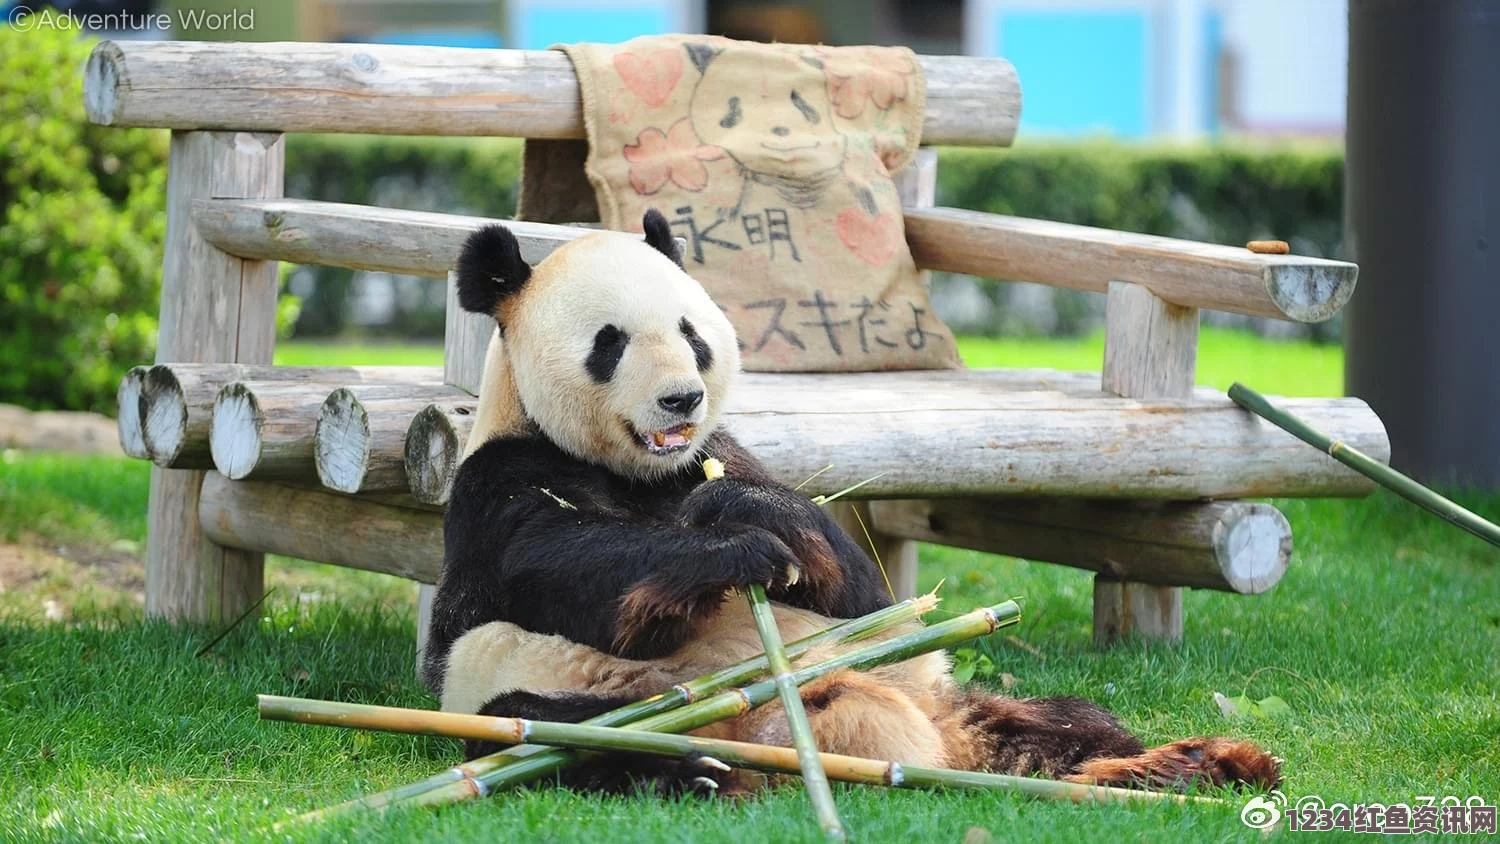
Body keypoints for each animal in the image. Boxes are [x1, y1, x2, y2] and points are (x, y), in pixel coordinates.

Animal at [420, 208, 1278, 797]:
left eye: (692, 333)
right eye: (611, 342)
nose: (681, 399)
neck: (643, 474)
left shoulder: (721, 450)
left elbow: (864, 592)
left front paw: (749, 517)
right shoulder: (501, 477)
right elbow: (558, 565)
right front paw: (728, 550)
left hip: (946, 694)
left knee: (1072, 722)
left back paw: (1194, 766)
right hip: (561, 695)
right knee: (553, 741)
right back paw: (692, 772)